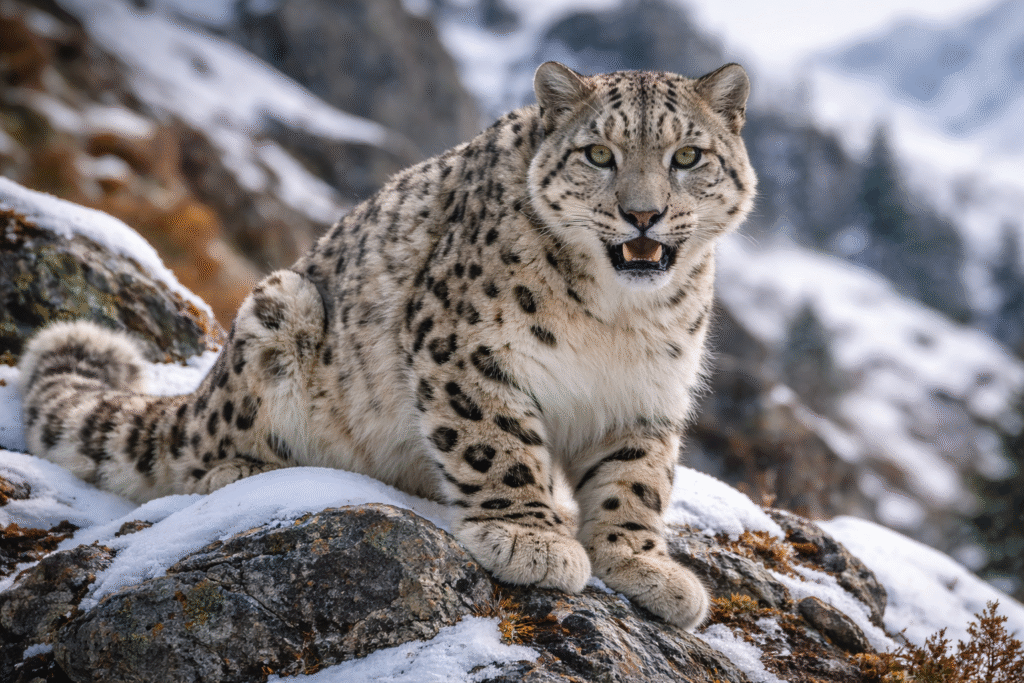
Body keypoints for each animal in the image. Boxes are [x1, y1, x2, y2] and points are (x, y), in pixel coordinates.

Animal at [19, 61, 756, 630]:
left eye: (688, 156)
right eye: (599, 153)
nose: (643, 214)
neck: (616, 320)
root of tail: (204, 388)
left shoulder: (647, 392)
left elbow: (637, 478)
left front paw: (644, 563)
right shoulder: (468, 345)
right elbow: (498, 442)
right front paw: (530, 538)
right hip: (280, 310)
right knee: (199, 454)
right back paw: (247, 473)